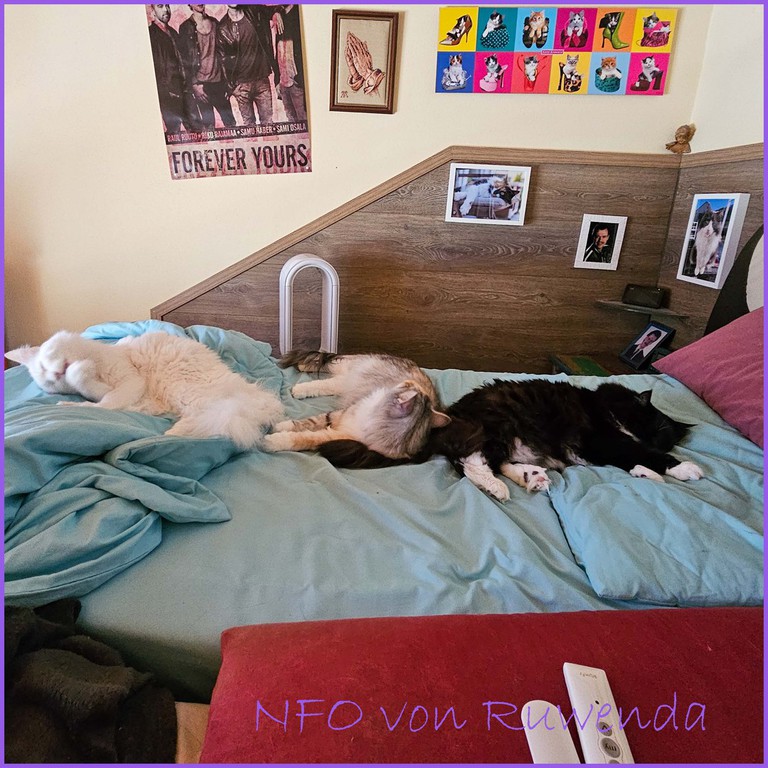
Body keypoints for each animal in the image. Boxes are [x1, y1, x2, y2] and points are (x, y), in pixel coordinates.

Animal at [5, 330, 283, 449]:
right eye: (51, 384)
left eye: (45, 363)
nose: (55, 374)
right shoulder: (117, 389)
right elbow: (99, 400)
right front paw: (72, 402)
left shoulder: (130, 380)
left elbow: (99, 393)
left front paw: (78, 373)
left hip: (183, 389)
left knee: (214, 419)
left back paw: (167, 434)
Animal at [263, 350, 450, 465]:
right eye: (409, 385)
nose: (408, 381)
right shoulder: (340, 414)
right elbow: (306, 422)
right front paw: (281, 426)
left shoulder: (335, 435)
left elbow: (303, 437)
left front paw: (273, 440)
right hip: (351, 366)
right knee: (331, 361)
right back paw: (301, 374)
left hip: (343, 381)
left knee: (328, 379)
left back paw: (299, 384)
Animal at [418, 380, 703, 501]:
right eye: (653, 427)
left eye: (664, 436)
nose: (653, 442)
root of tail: (450, 413)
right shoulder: (601, 441)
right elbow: (642, 455)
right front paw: (685, 467)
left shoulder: (605, 448)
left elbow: (634, 460)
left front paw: (647, 474)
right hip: (495, 427)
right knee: (471, 463)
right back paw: (497, 488)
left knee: (497, 463)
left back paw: (532, 477)